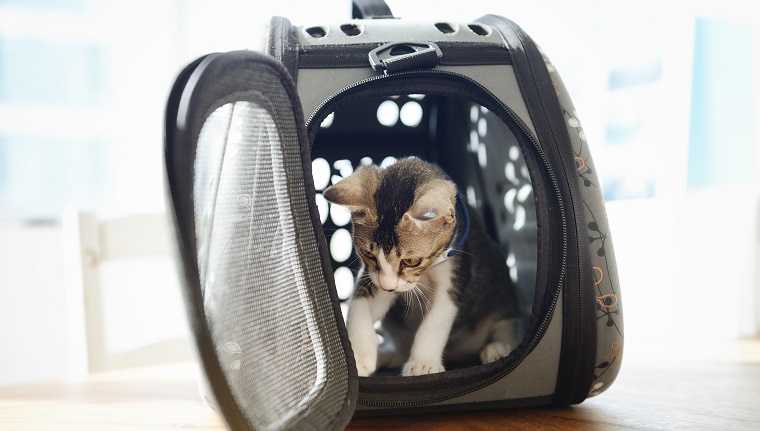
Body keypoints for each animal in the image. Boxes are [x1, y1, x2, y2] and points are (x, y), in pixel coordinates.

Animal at [324, 157, 520, 376]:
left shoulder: (455, 273)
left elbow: (435, 321)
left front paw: (423, 363)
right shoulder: (373, 276)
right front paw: (359, 357)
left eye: (411, 261)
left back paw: (498, 348)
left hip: (500, 288)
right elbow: (359, 307)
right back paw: (385, 355)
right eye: (369, 255)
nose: (388, 287)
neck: (425, 271)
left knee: (507, 324)